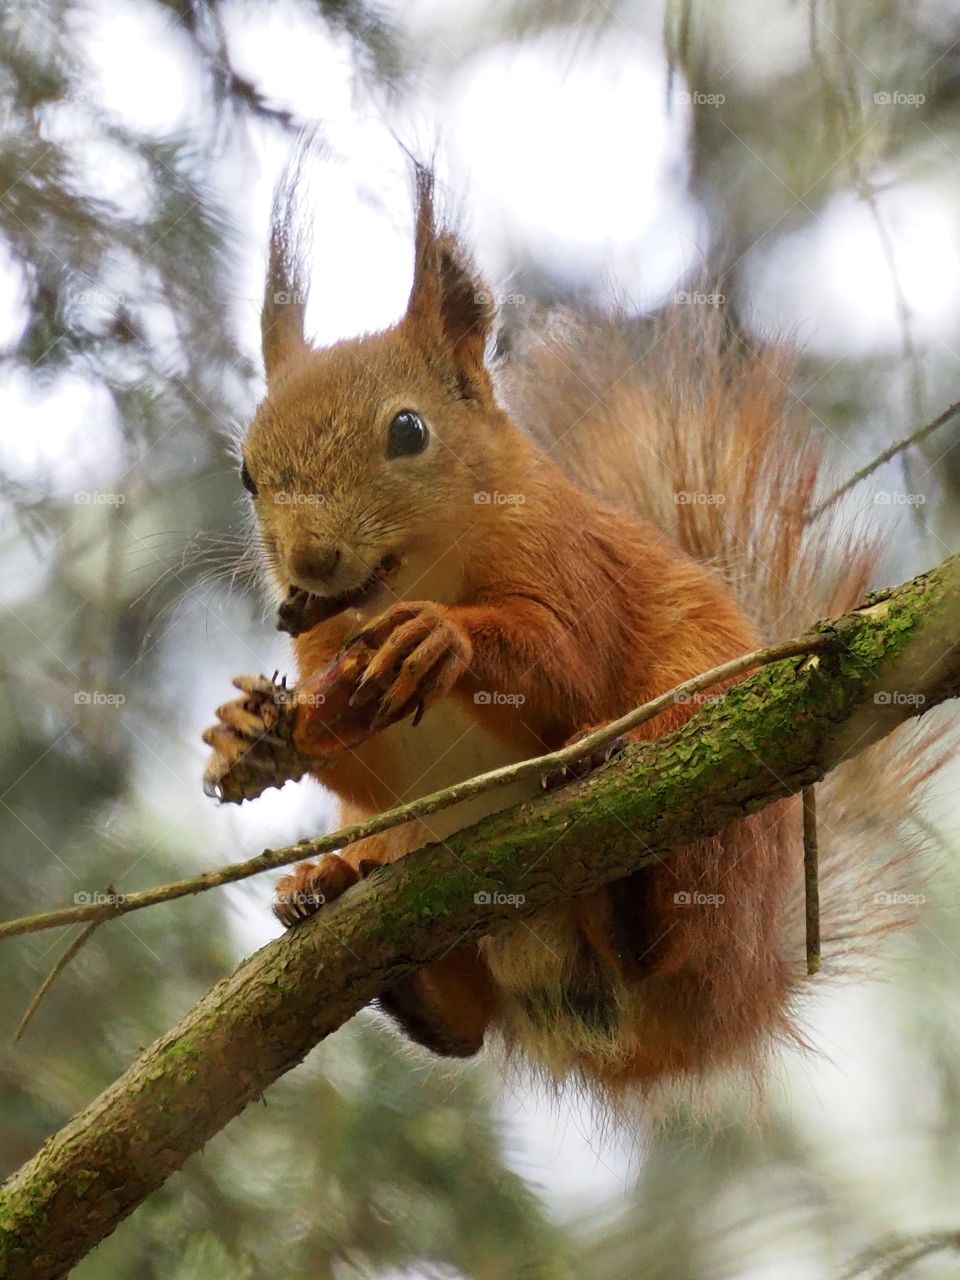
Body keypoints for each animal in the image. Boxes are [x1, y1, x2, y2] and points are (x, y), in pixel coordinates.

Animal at [202, 166, 934, 1103]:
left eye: (408, 430)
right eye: (247, 473)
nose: (311, 562)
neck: (415, 578)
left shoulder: (570, 561)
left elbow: (567, 663)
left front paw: (441, 640)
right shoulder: (328, 655)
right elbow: (367, 769)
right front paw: (251, 734)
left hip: (718, 829)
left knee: (659, 937)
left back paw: (615, 855)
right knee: (462, 1028)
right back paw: (330, 889)